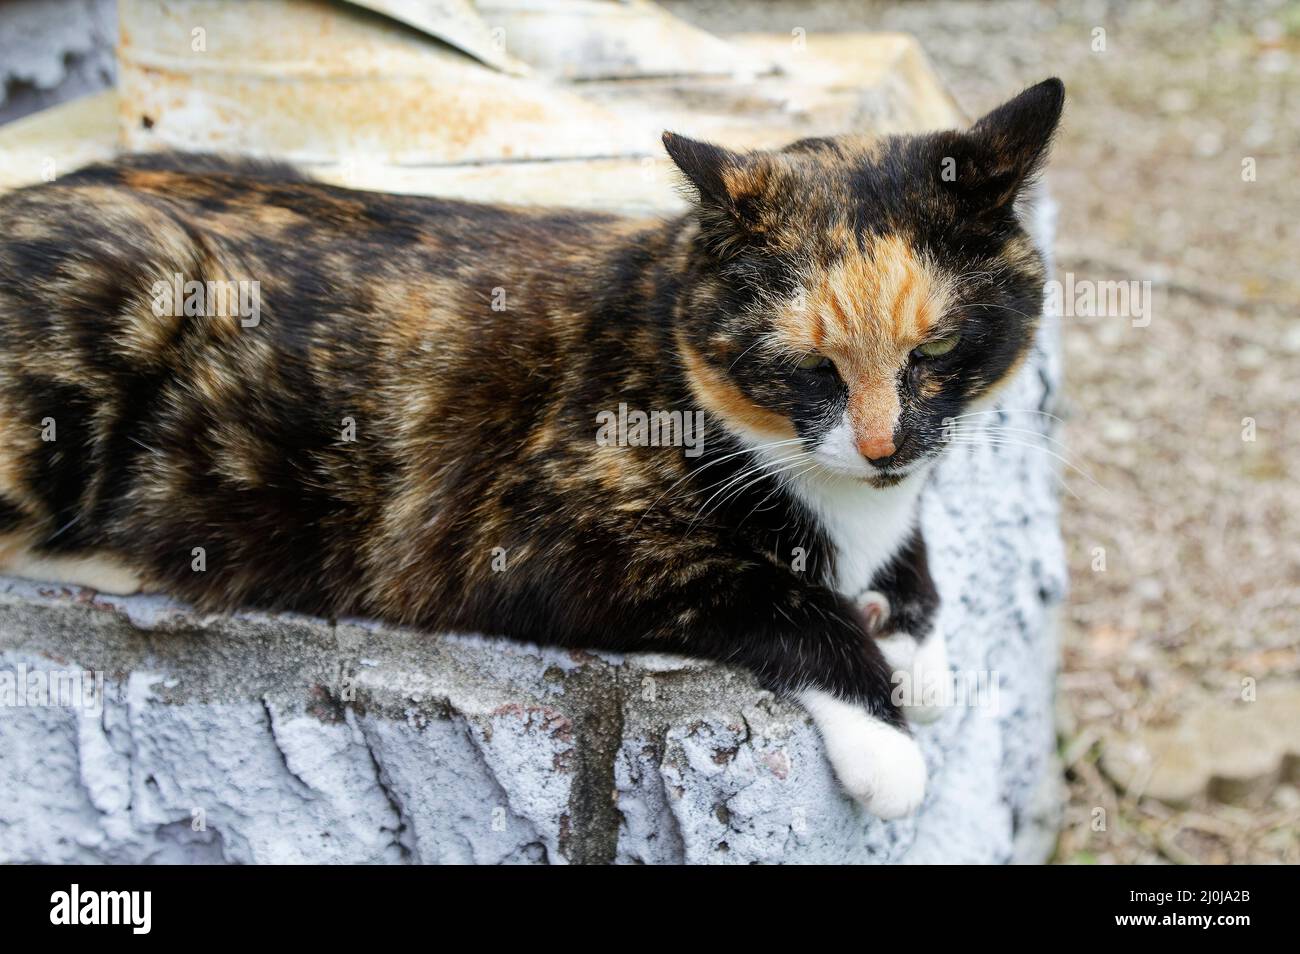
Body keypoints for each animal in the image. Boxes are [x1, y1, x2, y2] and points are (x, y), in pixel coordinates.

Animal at [0, 76, 1060, 821]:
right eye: (807, 365)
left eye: (936, 351)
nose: (882, 446)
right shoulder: (537, 539)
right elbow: (766, 594)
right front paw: (883, 727)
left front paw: (909, 631)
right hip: (125, 273)